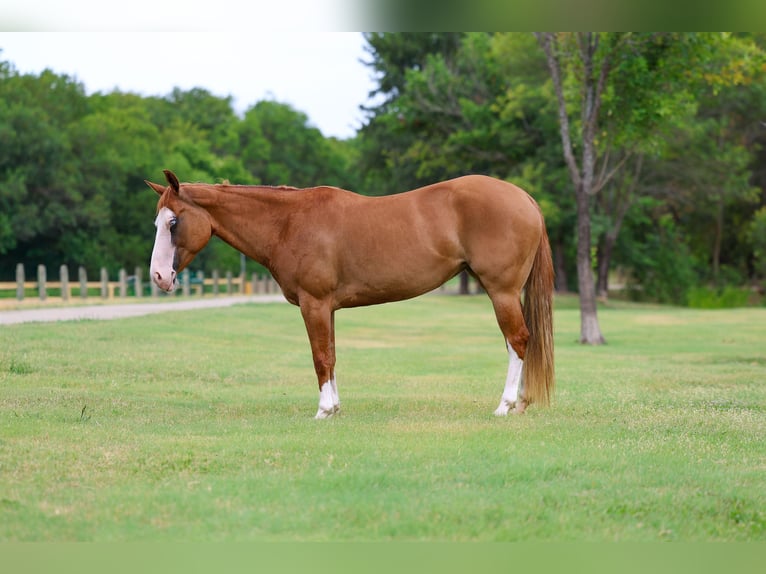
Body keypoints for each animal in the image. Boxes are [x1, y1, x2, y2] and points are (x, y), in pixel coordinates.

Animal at [147, 170, 554, 419]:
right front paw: (336, 406)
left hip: (501, 291)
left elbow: (320, 357)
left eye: (173, 222)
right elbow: (331, 356)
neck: (288, 223)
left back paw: (505, 406)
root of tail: (525, 198)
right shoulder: (327, 308)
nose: (159, 277)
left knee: (518, 341)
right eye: (158, 222)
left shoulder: (313, 304)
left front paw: (324, 410)